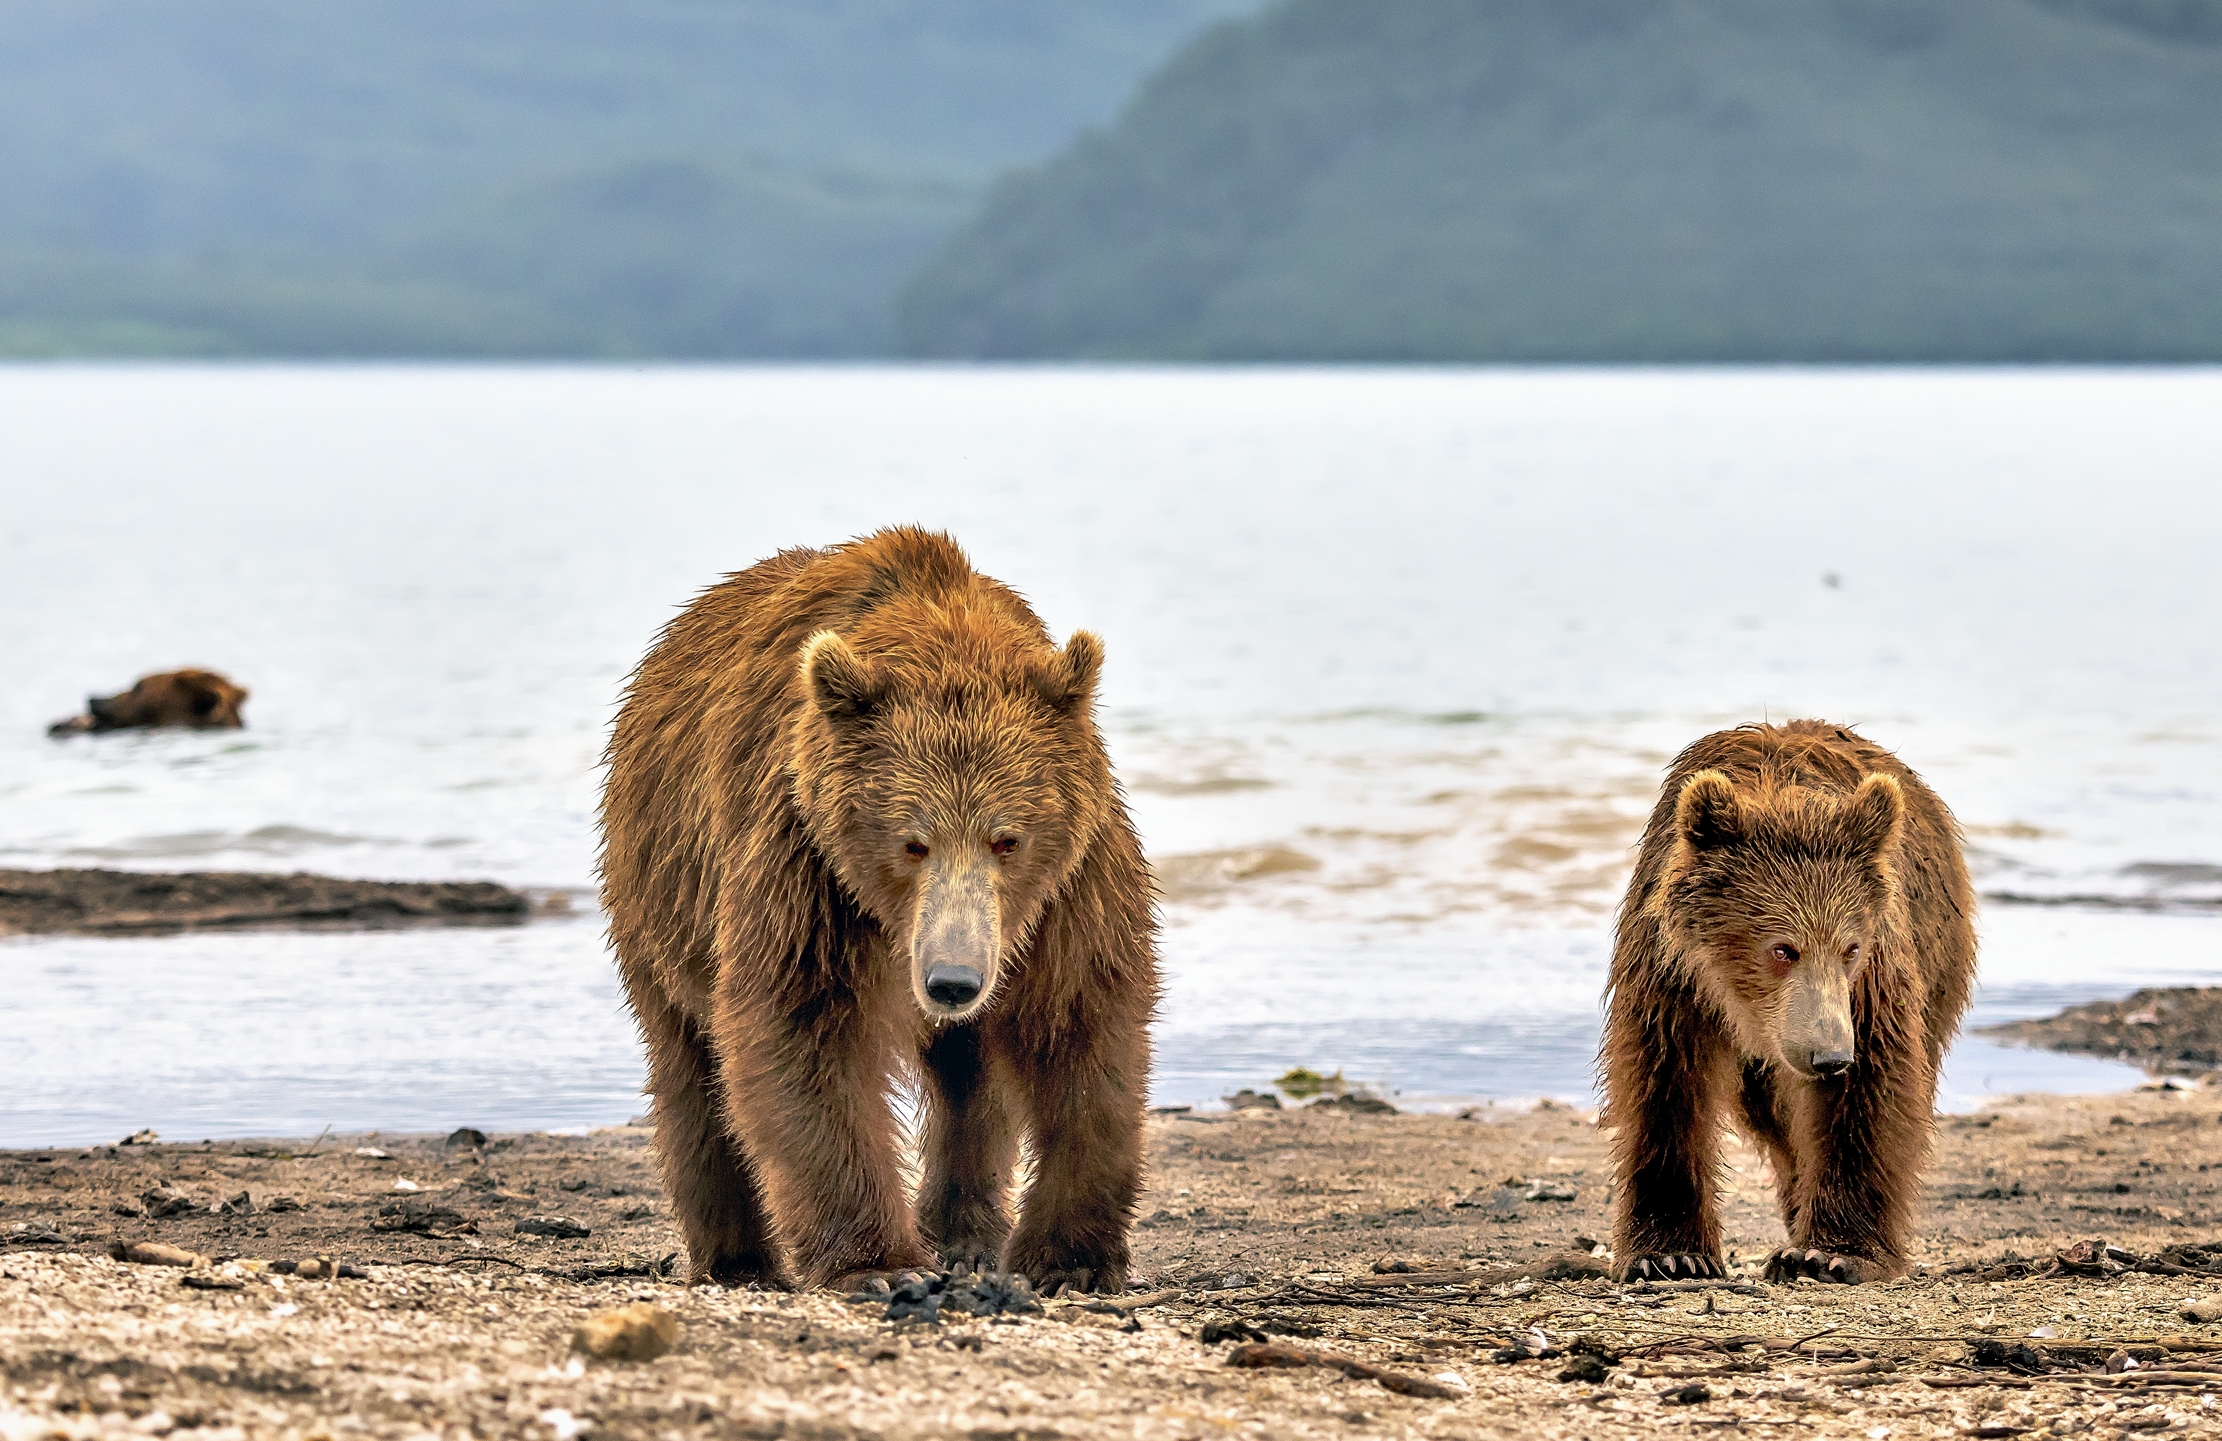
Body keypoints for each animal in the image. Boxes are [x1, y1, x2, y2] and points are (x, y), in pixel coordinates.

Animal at [598, 527, 1158, 1294]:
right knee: (692, 1068)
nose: (952, 981)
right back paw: (738, 1259)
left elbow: (1079, 1022)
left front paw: (1067, 1259)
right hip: (660, 900)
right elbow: (802, 1029)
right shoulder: (805, 859)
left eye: (1007, 838)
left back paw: (964, 1233)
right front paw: (878, 1264)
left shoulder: (1066, 885)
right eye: (911, 841)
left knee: (969, 1081)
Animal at [1600, 720, 1975, 1285]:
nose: (1830, 1056)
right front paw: (1668, 1254)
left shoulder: (1869, 984)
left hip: (1940, 971)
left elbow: (1869, 1093)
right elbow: (1665, 1084)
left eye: (1850, 948)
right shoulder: (1669, 975)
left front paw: (1832, 1253)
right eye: (1782, 948)